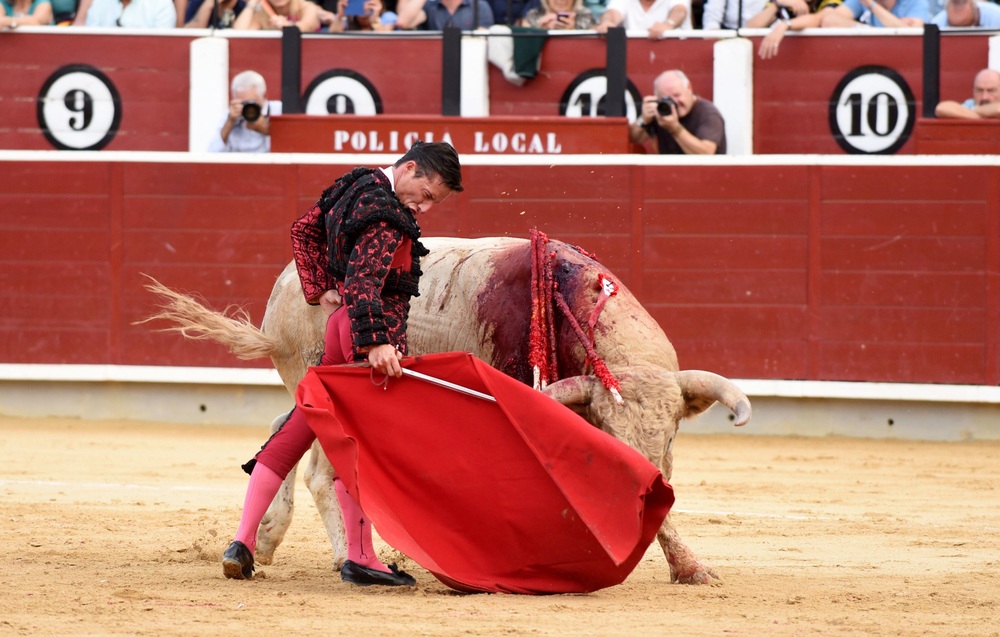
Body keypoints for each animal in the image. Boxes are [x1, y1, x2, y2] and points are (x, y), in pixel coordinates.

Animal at [150, 236, 752, 584]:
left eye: (671, 438)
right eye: (607, 431)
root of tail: (282, 291)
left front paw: (690, 568)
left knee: (282, 437)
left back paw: (264, 545)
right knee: (323, 470)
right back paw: (348, 559)